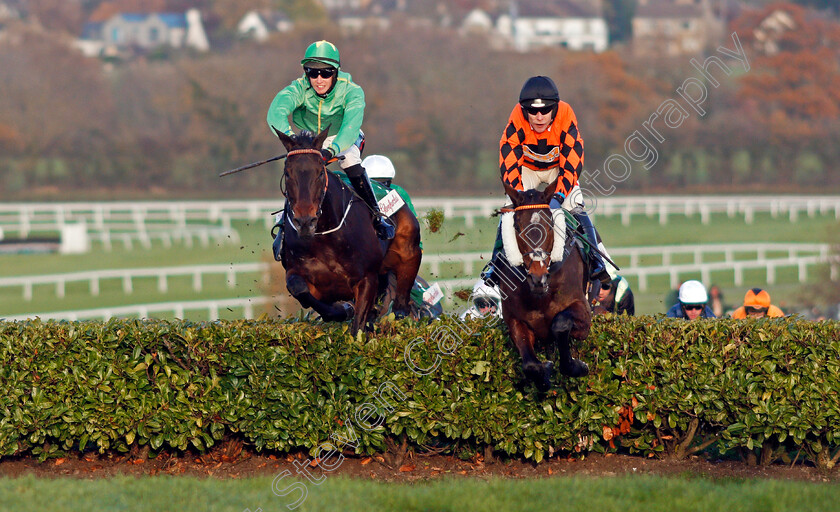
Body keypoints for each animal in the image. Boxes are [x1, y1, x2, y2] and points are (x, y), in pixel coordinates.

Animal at [274, 128, 420, 336]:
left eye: (320, 173)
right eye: (287, 174)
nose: (305, 221)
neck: (325, 237)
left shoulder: (367, 279)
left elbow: (357, 327)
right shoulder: (302, 275)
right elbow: (300, 289)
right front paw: (341, 310)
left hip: (409, 254)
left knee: (400, 306)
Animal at [498, 180, 592, 392]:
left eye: (549, 225)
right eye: (517, 226)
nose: (537, 278)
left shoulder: (583, 315)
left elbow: (561, 323)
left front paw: (578, 366)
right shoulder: (515, 319)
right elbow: (530, 365)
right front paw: (545, 374)